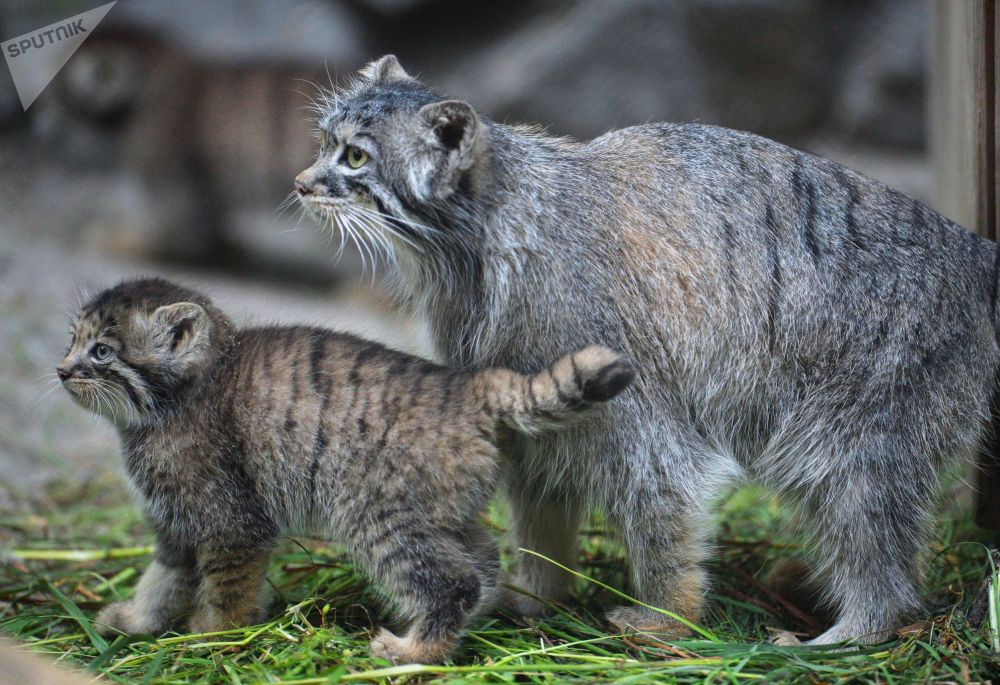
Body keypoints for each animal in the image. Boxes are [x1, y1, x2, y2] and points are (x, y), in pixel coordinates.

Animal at [58, 278, 632, 664]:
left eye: (101, 351)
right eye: (72, 341)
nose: (62, 369)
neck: (179, 397)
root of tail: (471, 387)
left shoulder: (232, 523)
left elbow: (225, 591)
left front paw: (213, 637)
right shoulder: (175, 525)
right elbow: (159, 581)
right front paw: (136, 621)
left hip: (374, 512)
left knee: (454, 579)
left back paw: (416, 652)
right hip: (439, 511)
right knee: (484, 558)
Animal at [296, 56, 1000, 644]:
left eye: (355, 157)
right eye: (325, 142)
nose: (301, 183)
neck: (489, 240)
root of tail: (975, 251)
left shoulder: (637, 410)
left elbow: (662, 497)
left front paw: (668, 617)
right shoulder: (530, 410)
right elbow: (538, 510)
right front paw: (536, 593)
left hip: (864, 431)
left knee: (874, 535)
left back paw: (851, 632)